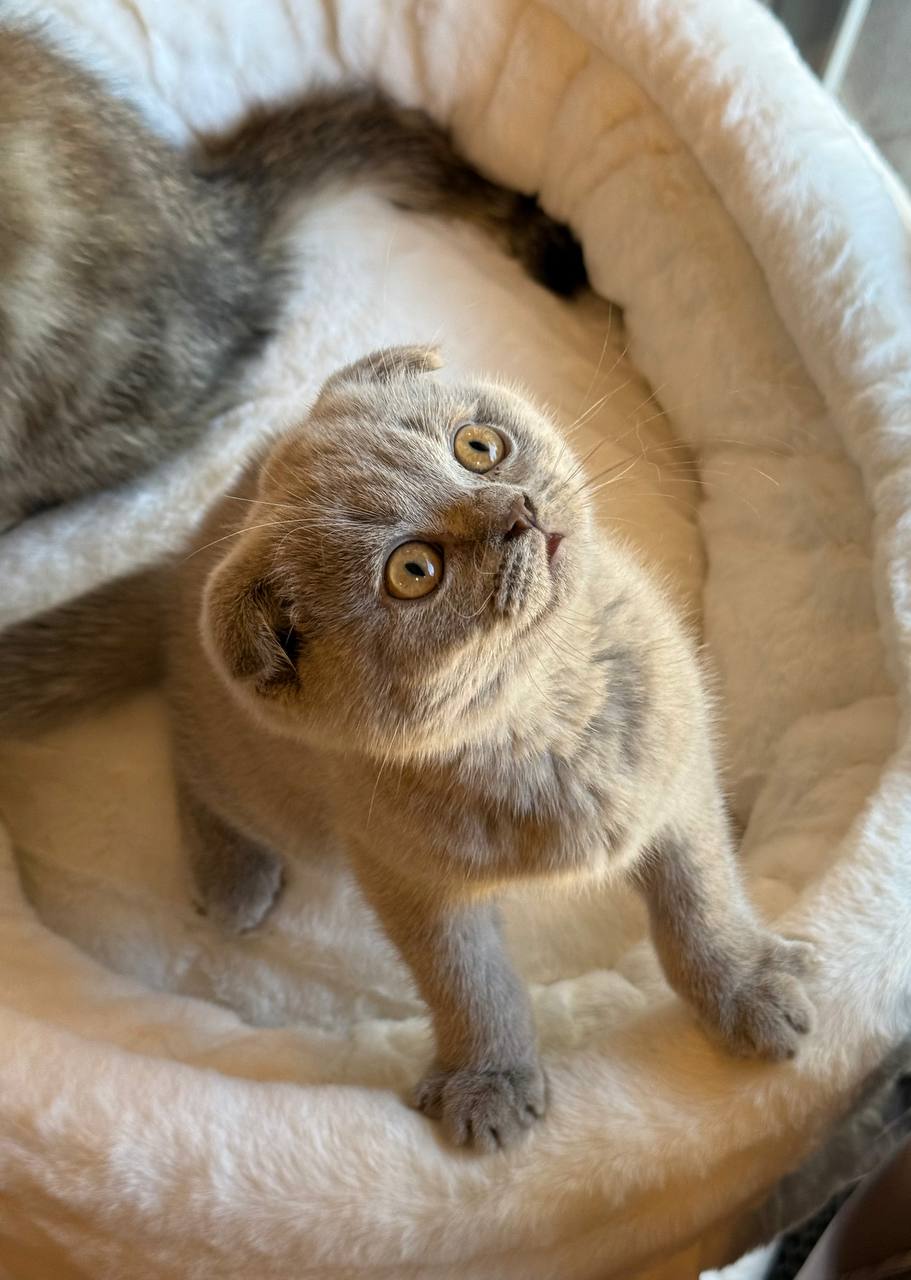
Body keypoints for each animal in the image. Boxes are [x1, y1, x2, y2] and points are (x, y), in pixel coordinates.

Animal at [0, 348, 813, 1152]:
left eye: (478, 446)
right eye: (413, 571)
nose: (517, 511)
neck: (547, 717)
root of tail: (179, 571)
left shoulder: (673, 777)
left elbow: (699, 899)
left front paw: (746, 988)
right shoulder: (405, 872)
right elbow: (465, 980)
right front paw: (489, 1081)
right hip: (265, 786)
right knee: (192, 758)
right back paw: (232, 872)